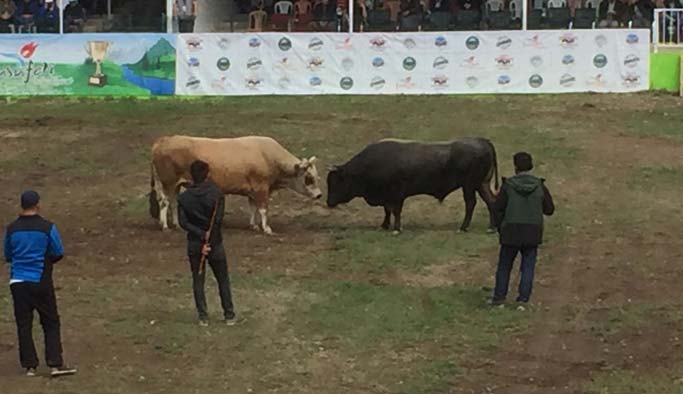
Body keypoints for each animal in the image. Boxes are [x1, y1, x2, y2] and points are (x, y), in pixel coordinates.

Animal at [328, 138, 500, 231]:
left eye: (336, 182)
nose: (328, 202)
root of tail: (482, 141)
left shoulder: (397, 194)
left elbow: (395, 210)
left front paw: (397, 228)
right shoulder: (386, 196)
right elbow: (387, 210)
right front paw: (384, 225)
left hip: (469, 185)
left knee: (470, 203)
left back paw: (463, 227)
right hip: (481, 184)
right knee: (491, 201)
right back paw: (491, 227)